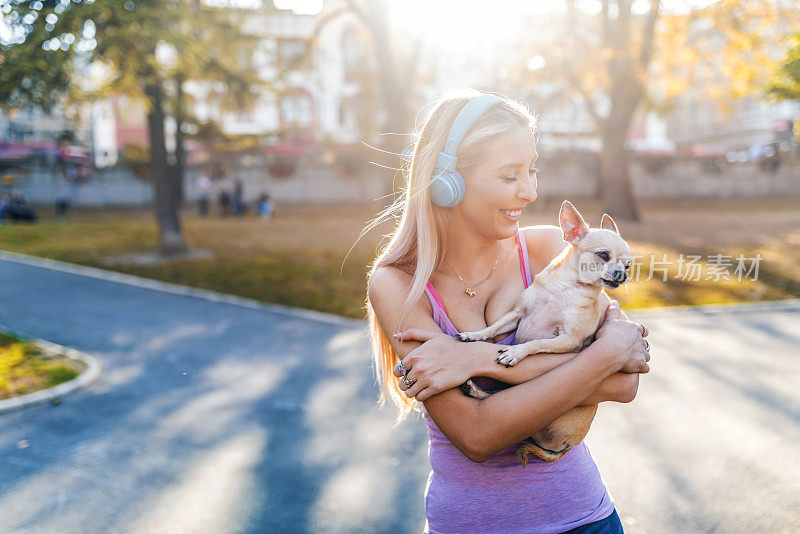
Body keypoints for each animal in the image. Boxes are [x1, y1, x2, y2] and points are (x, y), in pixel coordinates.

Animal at [456, 199, 632, 466]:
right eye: (603, 255)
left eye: (628, 264)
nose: (623, 274)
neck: (564, 289)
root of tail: (565, 448)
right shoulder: (517, 314)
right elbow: (494, 326)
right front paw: (475, 335)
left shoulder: (568, 340)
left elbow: (535, 344)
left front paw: (515, 352)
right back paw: (475, 390)